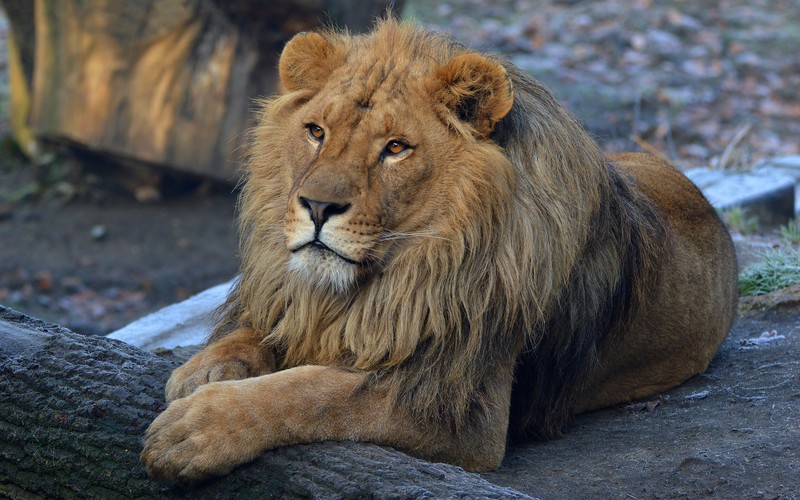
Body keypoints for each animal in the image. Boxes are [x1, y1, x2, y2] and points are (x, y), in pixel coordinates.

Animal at [141, 19, 738, 482]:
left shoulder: (460, 405)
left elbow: (314, 392)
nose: (316, 206)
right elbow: (257, 331)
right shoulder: (297, 304)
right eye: (315, 131)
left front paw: (199, 427)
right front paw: (203, 372)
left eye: (395, 149)